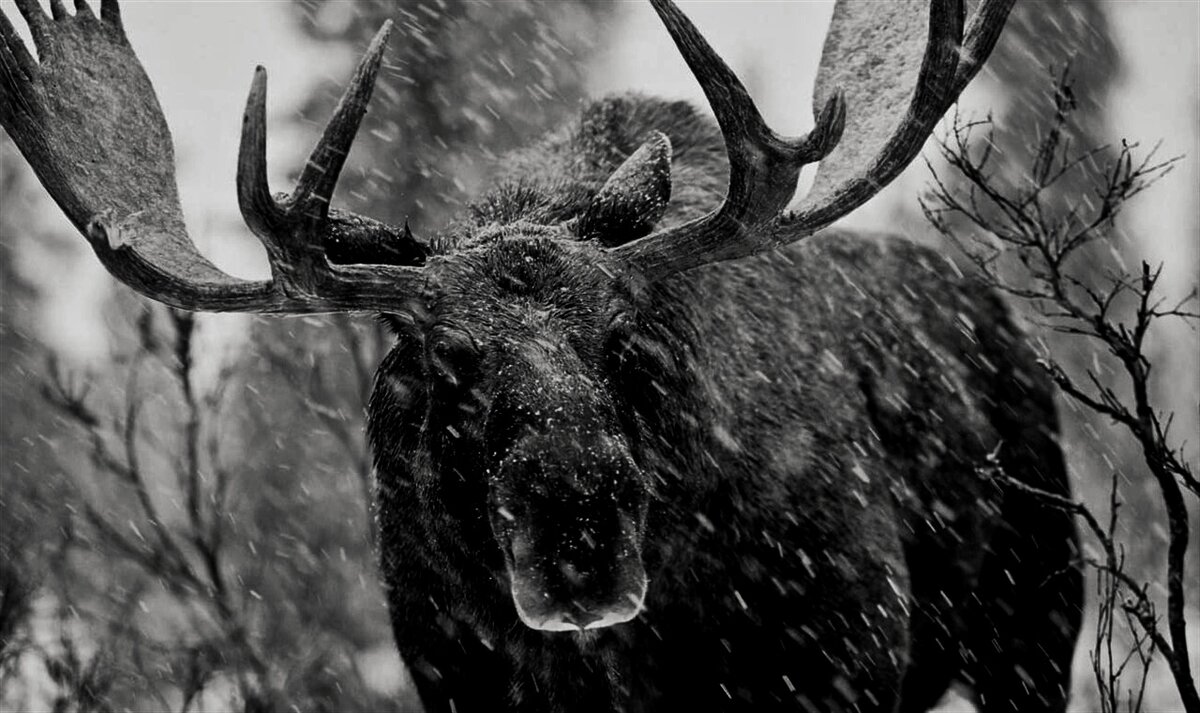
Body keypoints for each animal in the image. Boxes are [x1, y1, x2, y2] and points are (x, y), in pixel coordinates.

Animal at [2, 0, 1089, 705]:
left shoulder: (847, 656)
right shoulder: (459, 679)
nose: (580, 528)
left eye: (625, 334)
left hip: (1037, 615)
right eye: (443, 357)